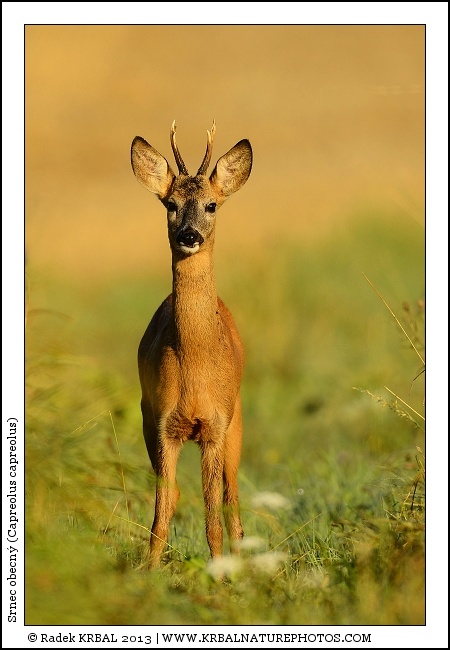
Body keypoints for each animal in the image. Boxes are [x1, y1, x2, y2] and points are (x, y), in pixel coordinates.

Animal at [130, 121, 252, 568]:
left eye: (212, 205)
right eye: (170, 203)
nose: (189, 235)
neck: (197, 368)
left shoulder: (216, 426)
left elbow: (212, 514)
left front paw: (220, 572)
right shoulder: (164, 424)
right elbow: (161, 512)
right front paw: (149, 572)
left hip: (238, 423)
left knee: (232, 498)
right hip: (146, 418)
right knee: (175, 495)